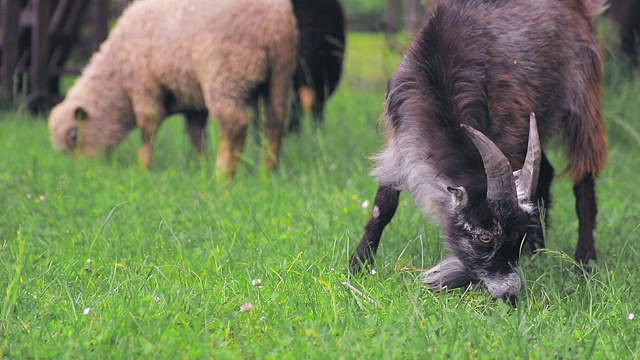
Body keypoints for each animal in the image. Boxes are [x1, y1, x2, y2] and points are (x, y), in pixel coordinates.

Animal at [352, 0, 608, 302]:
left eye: (516, 236)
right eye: (484, 237)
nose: (510, 296)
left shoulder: (509, 130)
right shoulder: (400, 139)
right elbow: (383, 206)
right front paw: (358, 265)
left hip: (583, 96)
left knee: (584, 178)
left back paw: (584, 261)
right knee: (546, 171)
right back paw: (540, 251)